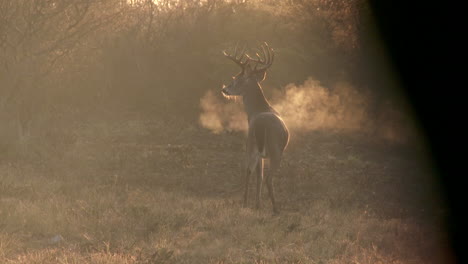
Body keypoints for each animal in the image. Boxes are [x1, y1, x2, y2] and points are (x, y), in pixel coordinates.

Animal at [220, 41, 288, 214]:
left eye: (235, 79)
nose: (224, 89)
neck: (257, 109)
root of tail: (261, 125)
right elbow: (261, 176)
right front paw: (259, 204)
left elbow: (258, 175)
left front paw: (257, 204)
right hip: (274, 149)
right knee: (268, 178)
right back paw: (275, 209)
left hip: (250, 143)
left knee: (248, 171)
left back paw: (245, 203)